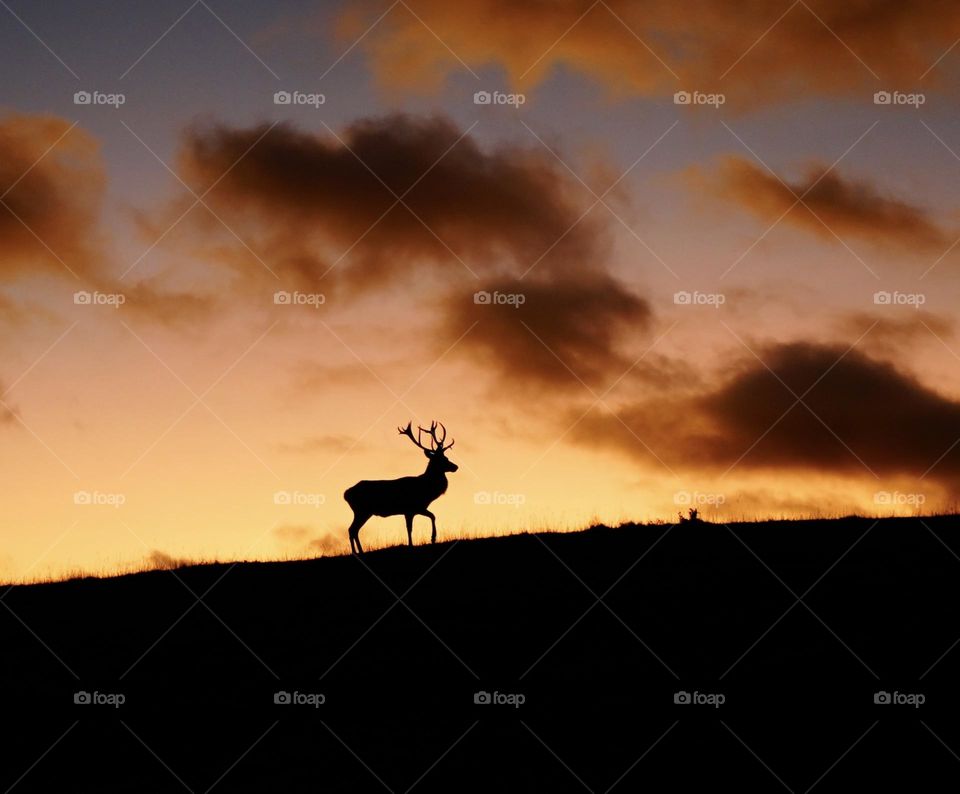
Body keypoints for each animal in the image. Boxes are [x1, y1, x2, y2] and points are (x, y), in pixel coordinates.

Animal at [343, 421, 458, 554]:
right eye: (441, 459)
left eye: (446, 457)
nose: (455, 466)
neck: (426, 489)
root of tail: (345, 494)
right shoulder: (411, 508)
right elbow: (417, 524)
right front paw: (431, 538)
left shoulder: (415, 509)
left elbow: (423, 520)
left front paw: (429, 539)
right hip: (361, 510)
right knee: (352, 529)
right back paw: (355, 552)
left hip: (363, 512)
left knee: (354, 529)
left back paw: (360, 551)